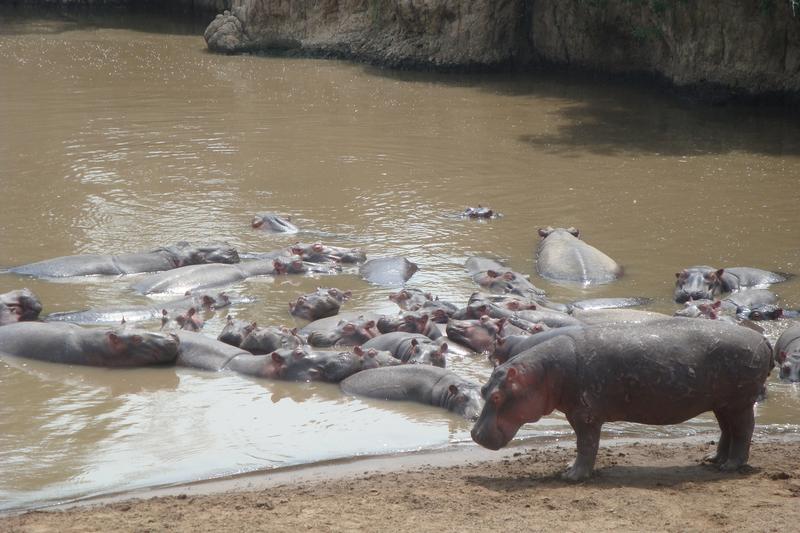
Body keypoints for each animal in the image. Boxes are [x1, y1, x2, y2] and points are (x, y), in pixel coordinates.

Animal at [472, 318, 772, 480]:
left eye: (497, 396)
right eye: (483, 390)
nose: (474, 434)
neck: (542, 373)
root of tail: (763, 339)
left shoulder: (585, 416)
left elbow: (586, 446)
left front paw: (572, 476)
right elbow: (583, 446)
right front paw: (568, 468)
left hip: (739, 401)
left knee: (743, 431)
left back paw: (731, 466)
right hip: (723, 403)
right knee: (727, 430)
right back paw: (713, 459)